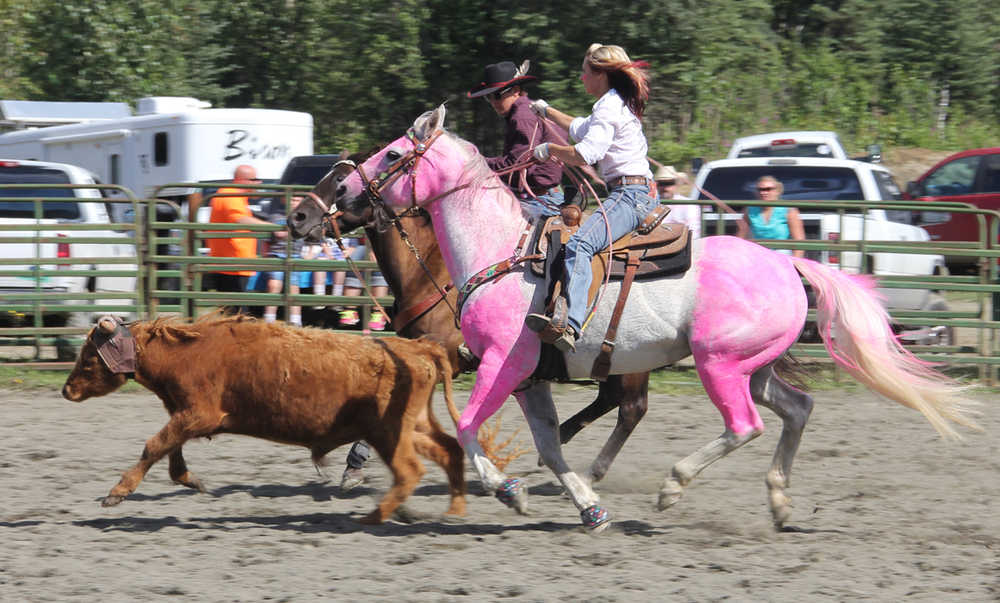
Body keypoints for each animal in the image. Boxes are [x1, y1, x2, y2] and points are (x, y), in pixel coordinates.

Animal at [60, 316, 466, 524]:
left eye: (89, 358)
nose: (67, 390)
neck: (186, 351)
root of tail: (417, 348)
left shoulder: (199, 413)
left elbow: (155, 444)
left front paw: (118, 492)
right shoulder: (187, 414)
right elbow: (171, 450)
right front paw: (191, 480)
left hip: (388, 431)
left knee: (410, 471)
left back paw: (375, 515)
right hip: (413, 425)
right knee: (450, 450)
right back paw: (453, 510)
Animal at [292, 156, 648, 486]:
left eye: (340, 182)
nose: (298, 217)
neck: (432, 272)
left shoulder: (447, 358)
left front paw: (352, 462)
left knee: (631, 409)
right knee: (616, 402)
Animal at [332, 106, 980, 532]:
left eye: (394, 155)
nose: (338, 194)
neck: (499, 254)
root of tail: (788, 263)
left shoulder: (500, 364)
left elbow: (466, 427)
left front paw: (507, 491)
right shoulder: (531, 378)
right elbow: (550, 446)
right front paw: (588, 508)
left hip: (719, 364)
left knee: (743, 425)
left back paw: (673, 488)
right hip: (754, 366)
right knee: (797, 409)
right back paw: (778, 502)